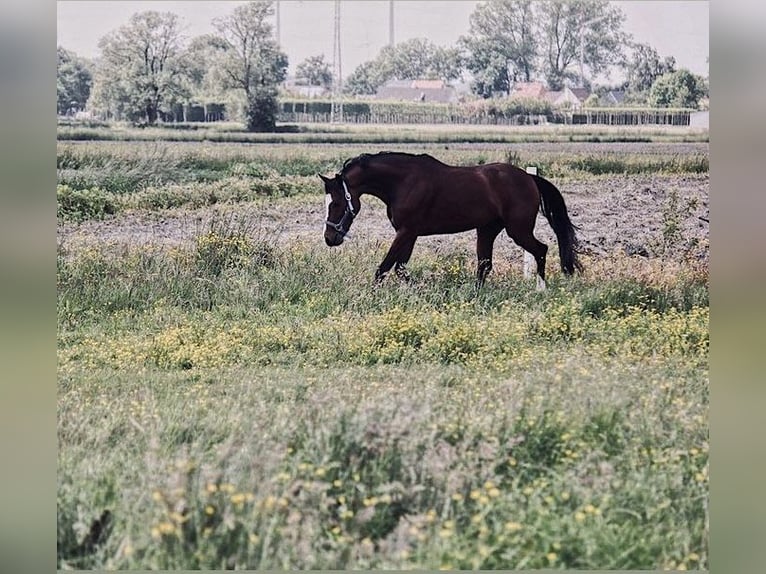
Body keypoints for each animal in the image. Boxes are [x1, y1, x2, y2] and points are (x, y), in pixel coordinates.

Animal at [319, 151, 582, 289]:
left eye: (336, 203)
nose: (330, 238)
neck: (402, 182)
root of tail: (529, 178)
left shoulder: (406, 231)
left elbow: (384, 268)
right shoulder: (409, 234)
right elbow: (400, 268)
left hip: (518, 230)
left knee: (541, 250)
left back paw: (540, 288)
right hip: (487, 229)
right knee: (484, 265)